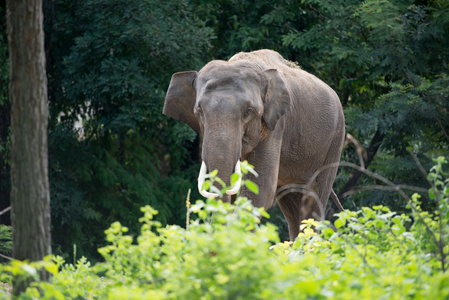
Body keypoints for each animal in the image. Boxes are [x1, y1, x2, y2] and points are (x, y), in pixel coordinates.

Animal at [163, 49, 344, 241]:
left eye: (248, 111)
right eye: (199, 111)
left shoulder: (276, 125)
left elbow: (261, 188)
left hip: (335, 139)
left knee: (315, 197)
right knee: (291, 203)